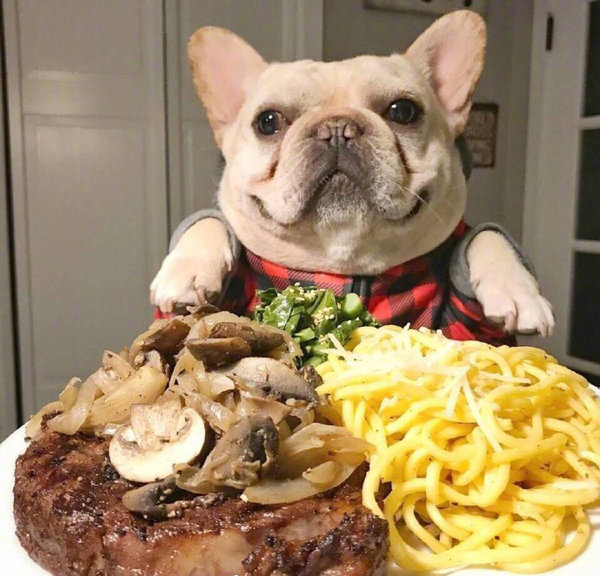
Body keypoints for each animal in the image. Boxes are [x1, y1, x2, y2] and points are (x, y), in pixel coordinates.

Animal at [150, 10, 554, 343]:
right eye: (267, 121)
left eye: (403, 111)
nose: (336, 128)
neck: (347, 264)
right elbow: (209, 223)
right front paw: (186, 270)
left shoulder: (473, 329)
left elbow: (483, 236)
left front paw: (517, 290)